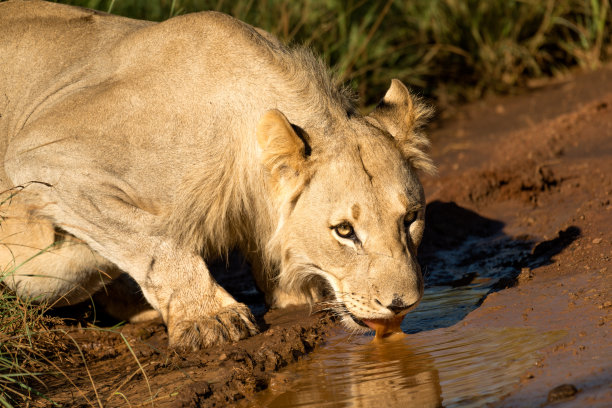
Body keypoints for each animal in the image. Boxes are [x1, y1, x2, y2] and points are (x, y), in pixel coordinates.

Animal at [0, 1, 436, 350]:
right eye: (344, 231)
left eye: (411, 218)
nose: (402, 304)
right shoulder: (43, 156)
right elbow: (151, 240)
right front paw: (209, 318)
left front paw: (294, 293)